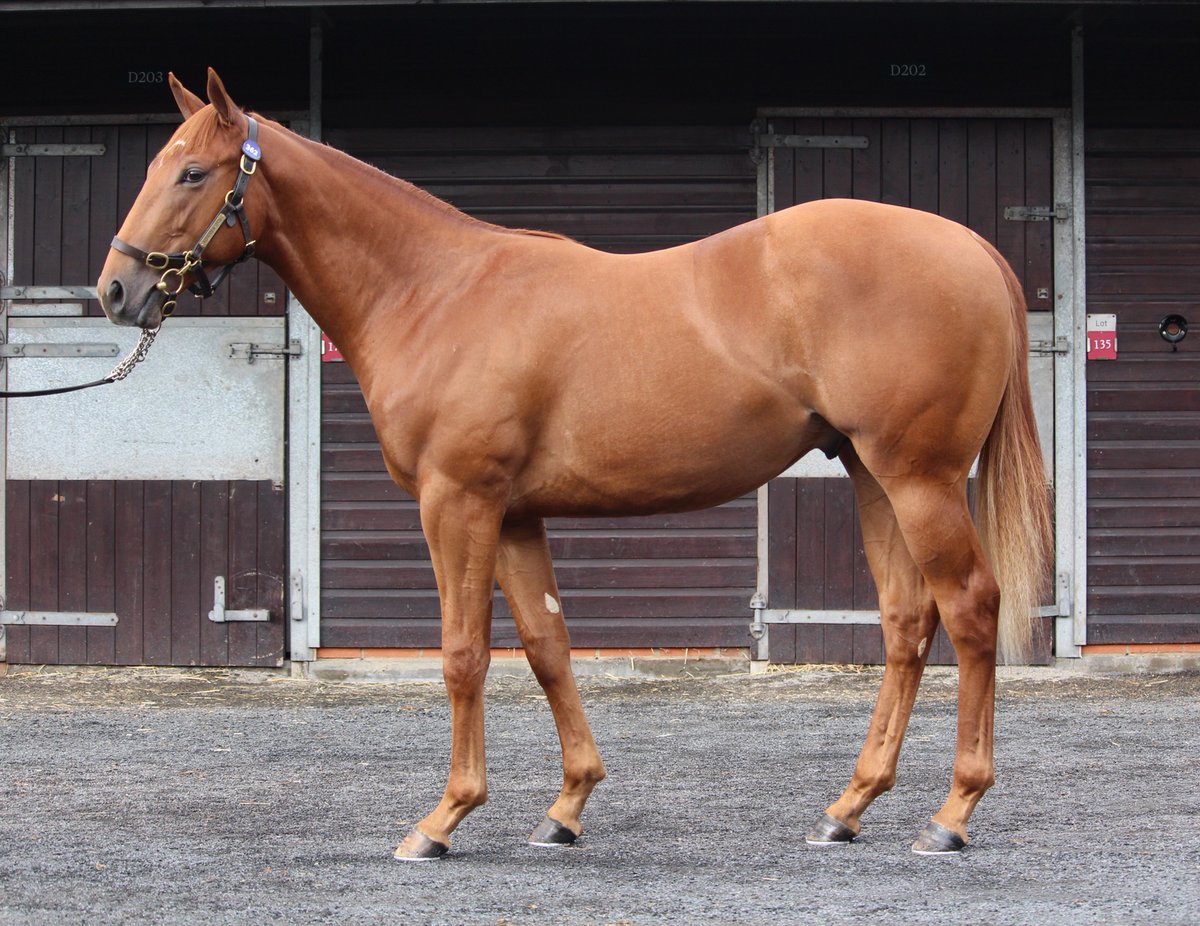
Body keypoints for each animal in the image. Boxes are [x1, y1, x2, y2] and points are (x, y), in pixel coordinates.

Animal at [98, 69, 1052, 861]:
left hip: (920, 479)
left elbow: (463, 654)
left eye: (193, 174)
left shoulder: (458, 502)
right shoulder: (515, 513)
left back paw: (952, 815)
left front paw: (443, 819)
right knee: (905, 623)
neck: (435, 291)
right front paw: (566, 807)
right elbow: (548, 645)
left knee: (970, 609)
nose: (115, 290)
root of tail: (973, 249)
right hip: (870, 475)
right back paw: (848, 808)